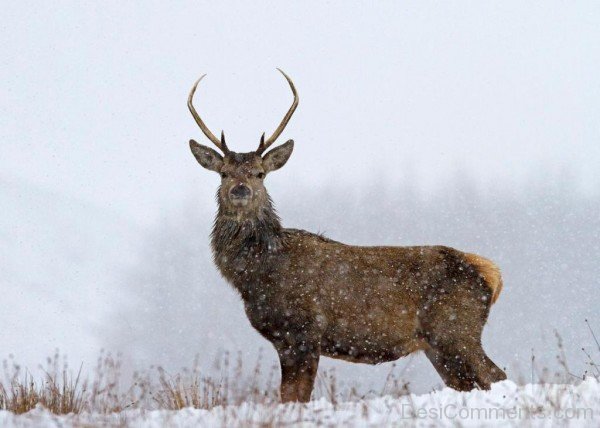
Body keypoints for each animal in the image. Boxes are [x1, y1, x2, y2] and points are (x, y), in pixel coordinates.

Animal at [186, 69, 506, 402]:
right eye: (224, 172)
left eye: (260, 173)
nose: (240, 189)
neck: (256, 275)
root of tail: (491, 274)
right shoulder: (285, 338)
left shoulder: (304, 330)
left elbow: (296, 396)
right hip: (439, 346)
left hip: (456, 330)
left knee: (496, 375)